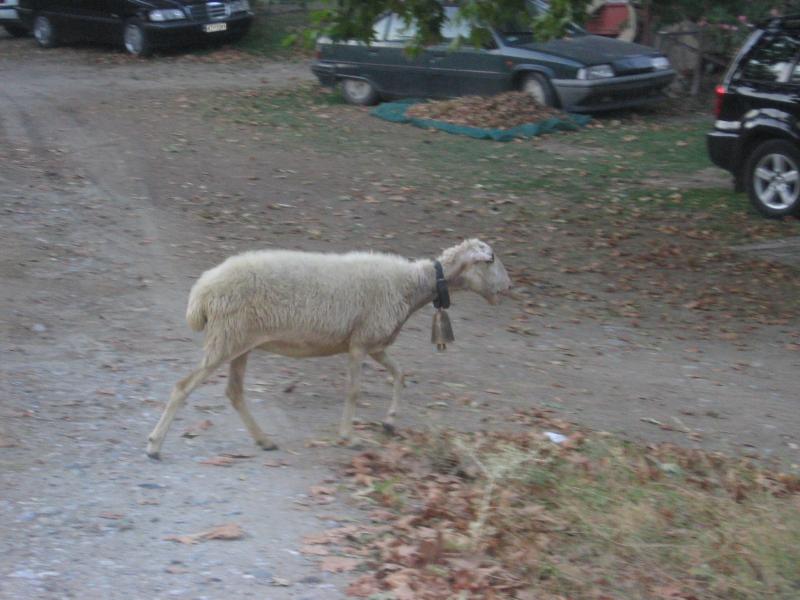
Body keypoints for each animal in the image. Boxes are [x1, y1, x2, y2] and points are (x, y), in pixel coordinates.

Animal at [148, 237, 512, 458]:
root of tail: (202, 292)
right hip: (226, 338)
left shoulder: (374, 342)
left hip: (241, 342)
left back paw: (263, 440)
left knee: (234, 393)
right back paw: (154, 444)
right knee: (183, 386)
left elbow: (400, 374)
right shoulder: (360, 343)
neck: (413, 284)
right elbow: (353, 391)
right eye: (491, 259)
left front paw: (390, 422)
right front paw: (348, 436)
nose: (509, 287)